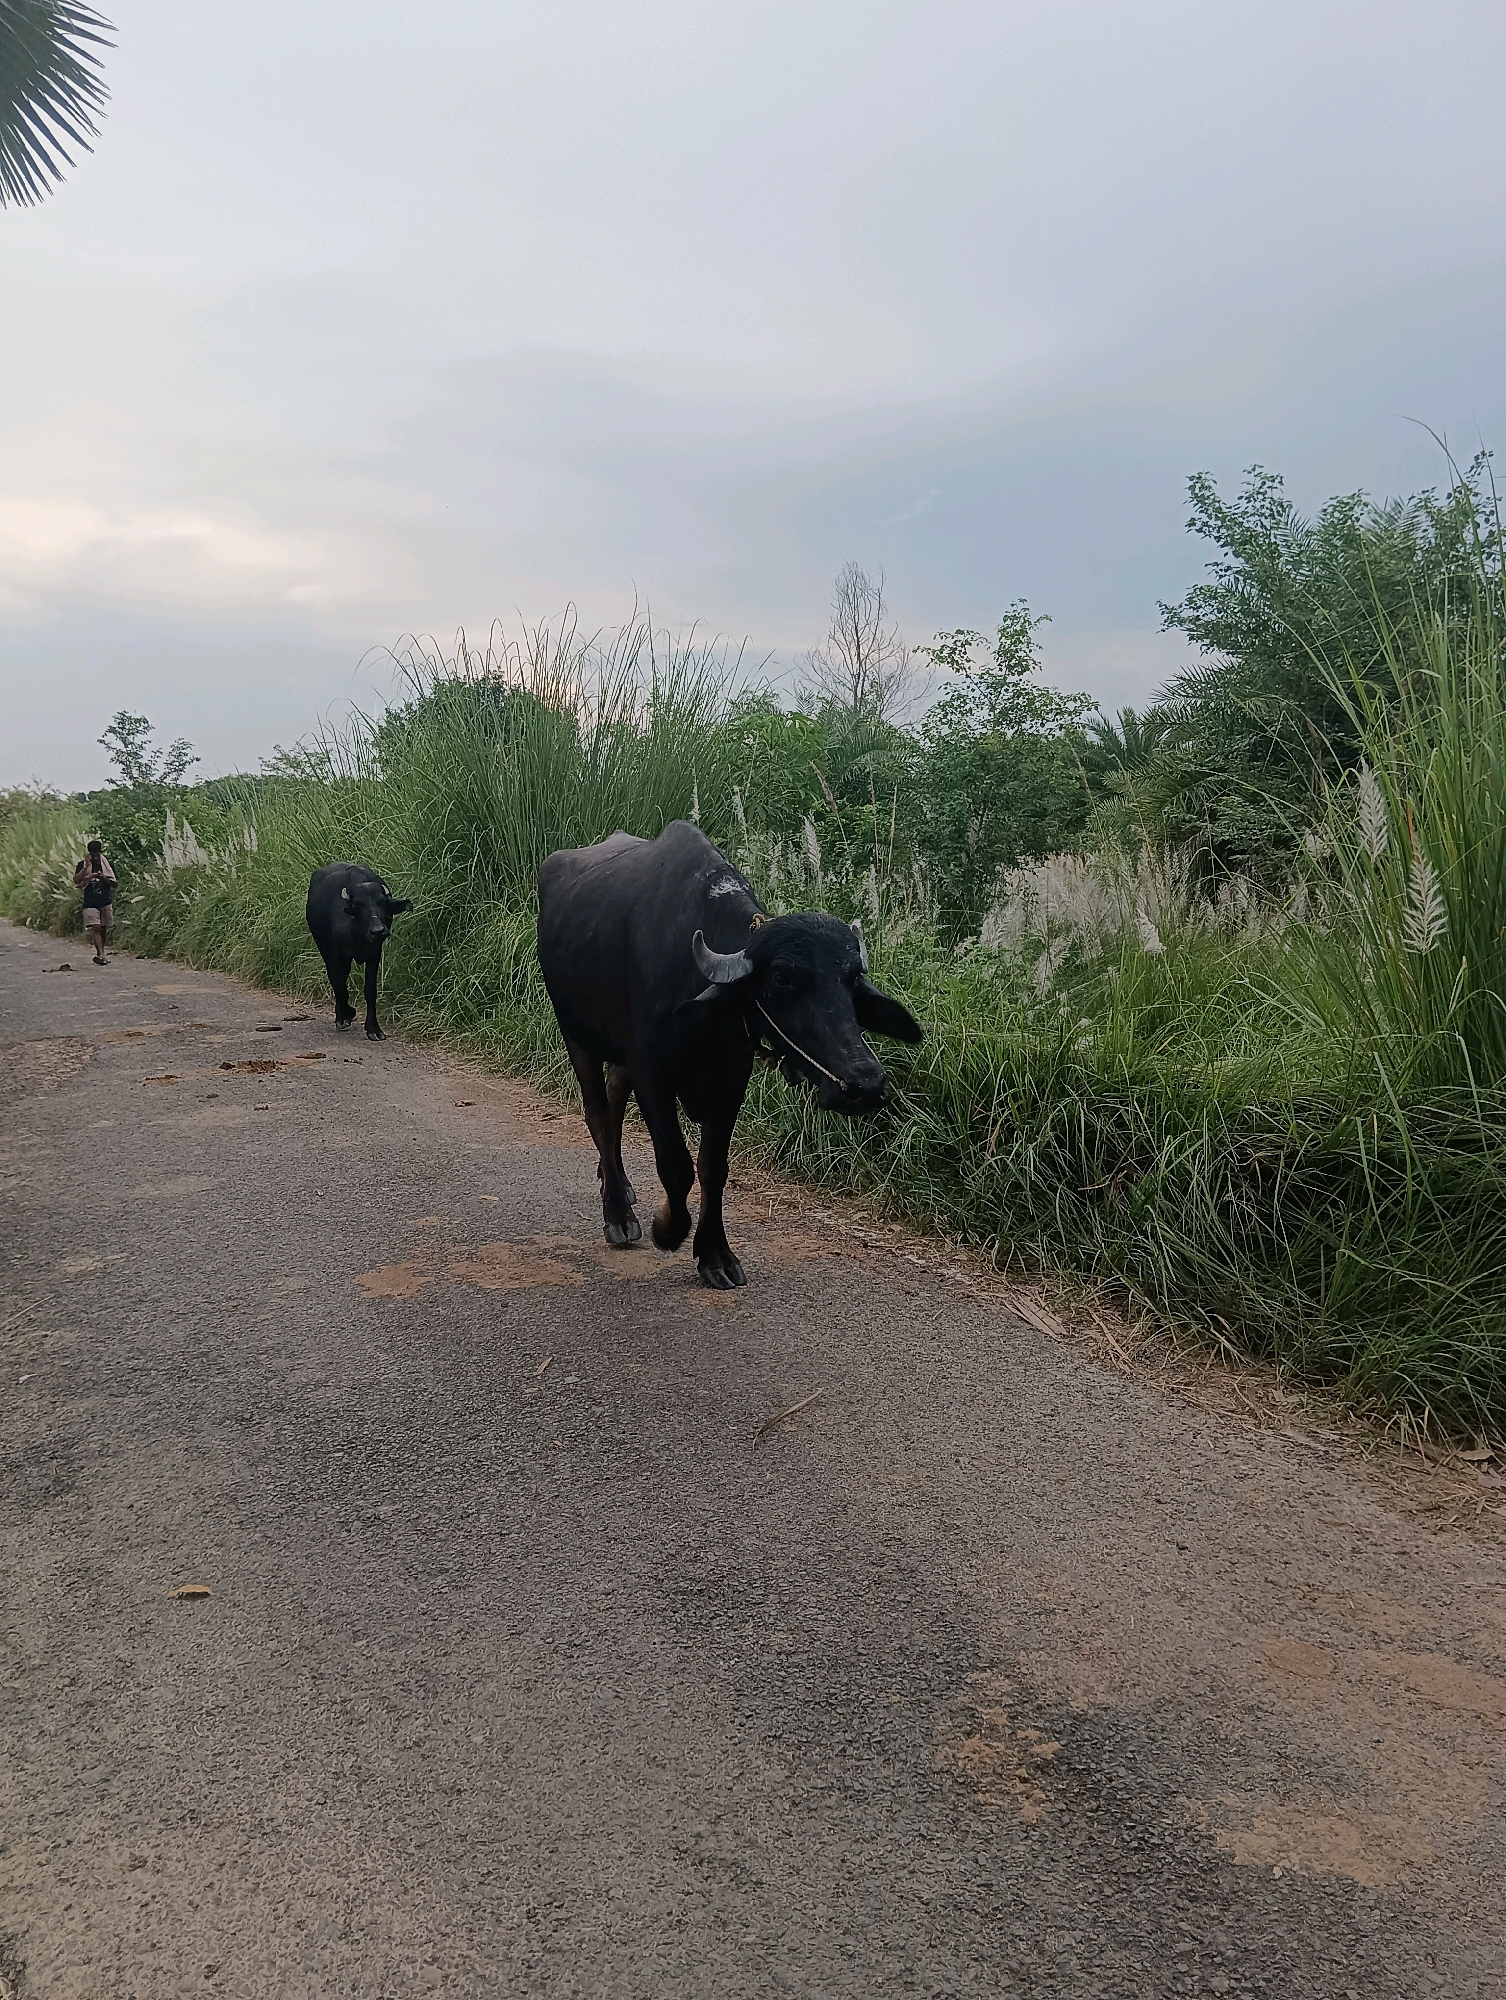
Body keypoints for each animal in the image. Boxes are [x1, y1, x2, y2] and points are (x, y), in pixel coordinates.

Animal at [306, 864, 412, 1039]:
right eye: (358, 905)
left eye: (382, 902)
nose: (378, 930)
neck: (358, 933)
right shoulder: (337, 955)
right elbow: (339, 985)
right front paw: (345, 1015)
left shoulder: (374, 954)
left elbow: (370, 990)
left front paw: (373, 1029)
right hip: (324, 948)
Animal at [536, 820, 921, 1287]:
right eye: (781, 978)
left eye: (852, 980)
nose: (865, 1083)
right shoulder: (652, 1073)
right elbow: (676, 1164)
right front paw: (667, 1228)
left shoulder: (730, 1079)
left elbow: (713, 1168)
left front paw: (715, 1254)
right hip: (575, 1033)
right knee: (597, 1112)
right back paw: (617, 1213)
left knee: (612, 1103)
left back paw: (620, 1186)